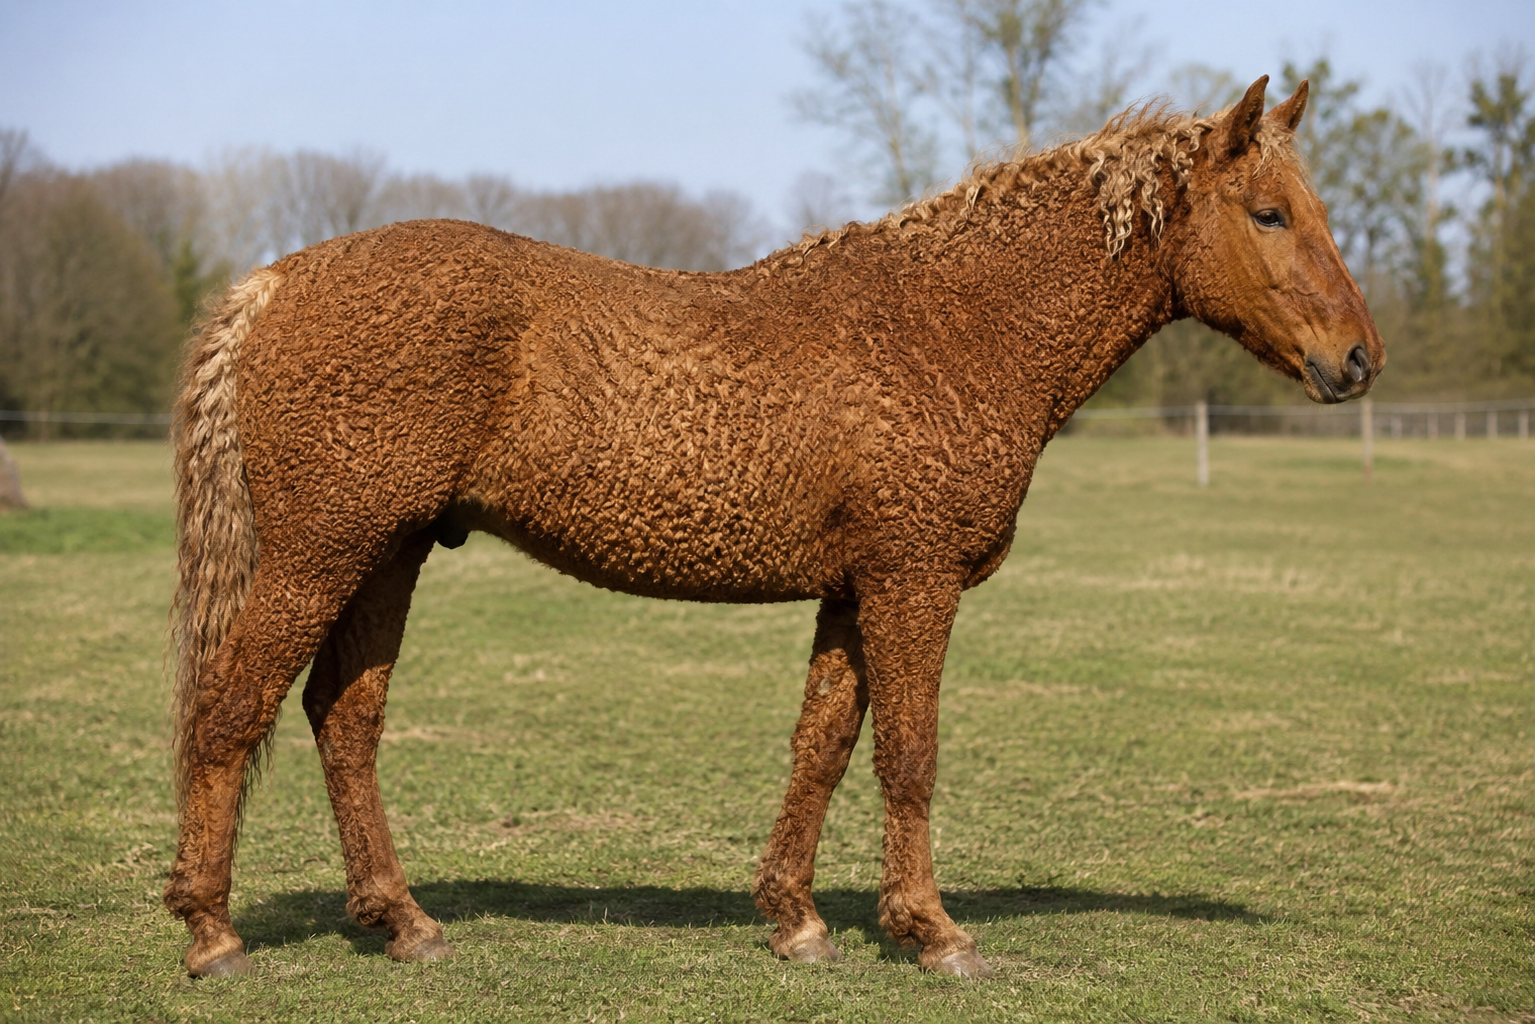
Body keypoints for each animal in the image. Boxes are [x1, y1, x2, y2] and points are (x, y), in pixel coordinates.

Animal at [163, 76, 1382, 979]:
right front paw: (931, 933)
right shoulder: (911, 579)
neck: (953, 324)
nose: (1357, 359)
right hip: (323, 552)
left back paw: (401, 921)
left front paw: (794, 919)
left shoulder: (853, 590)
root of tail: (274, 282)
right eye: (1268, 213)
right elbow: (907, 755)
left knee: (342, 718)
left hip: (389, 552)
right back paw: (212, 934)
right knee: (231, 709)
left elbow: (822, 747)